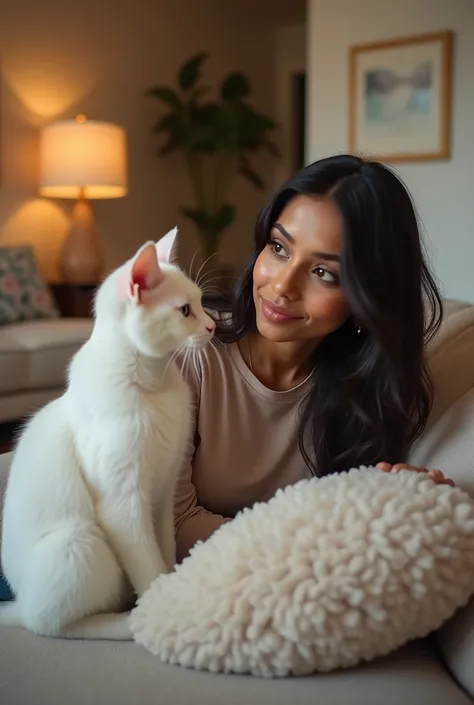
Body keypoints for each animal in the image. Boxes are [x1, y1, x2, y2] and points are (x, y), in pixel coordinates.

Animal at [0, 226, 213, 640]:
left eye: (200, 301)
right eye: (184, 310)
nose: (213, 326)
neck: (155, 386)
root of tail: (18, 602)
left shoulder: (162, 493)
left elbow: (163, 550)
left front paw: (172, 590)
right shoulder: (123, 504)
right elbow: (149, 567)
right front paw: (158, 612)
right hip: (79, 543)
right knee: (51, 624)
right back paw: (123, 624)